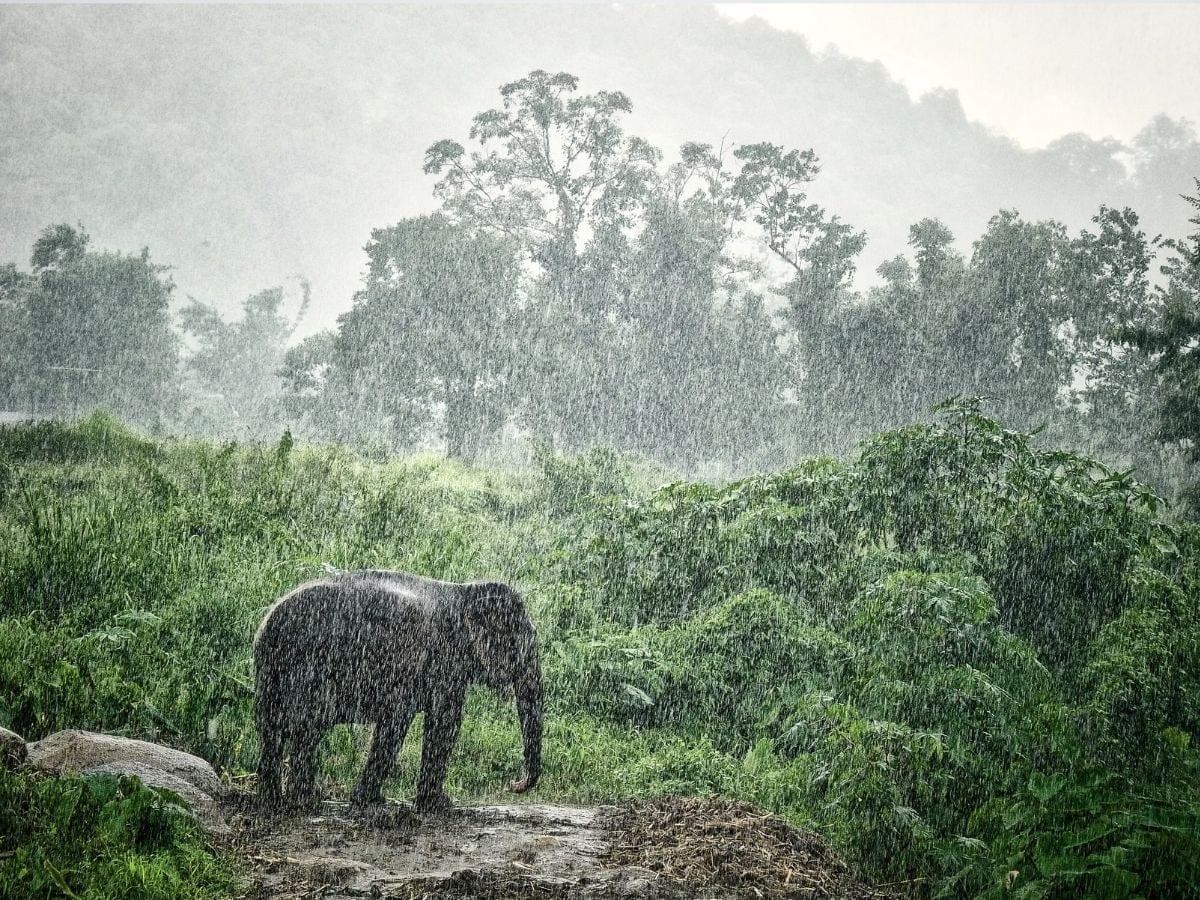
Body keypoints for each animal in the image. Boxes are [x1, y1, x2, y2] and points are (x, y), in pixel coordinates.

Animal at [253, 569, 543, 812]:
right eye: (519, 645)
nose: (513, 784)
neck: (466, 590)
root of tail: (268, 626)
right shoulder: (443, 658)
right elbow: (441, 724)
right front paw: (438, 805)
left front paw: (374, 801)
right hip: (310, 666)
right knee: (309, 727)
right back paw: (307, 801)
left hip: (271, 675)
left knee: (272, 729)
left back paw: (274, 801)